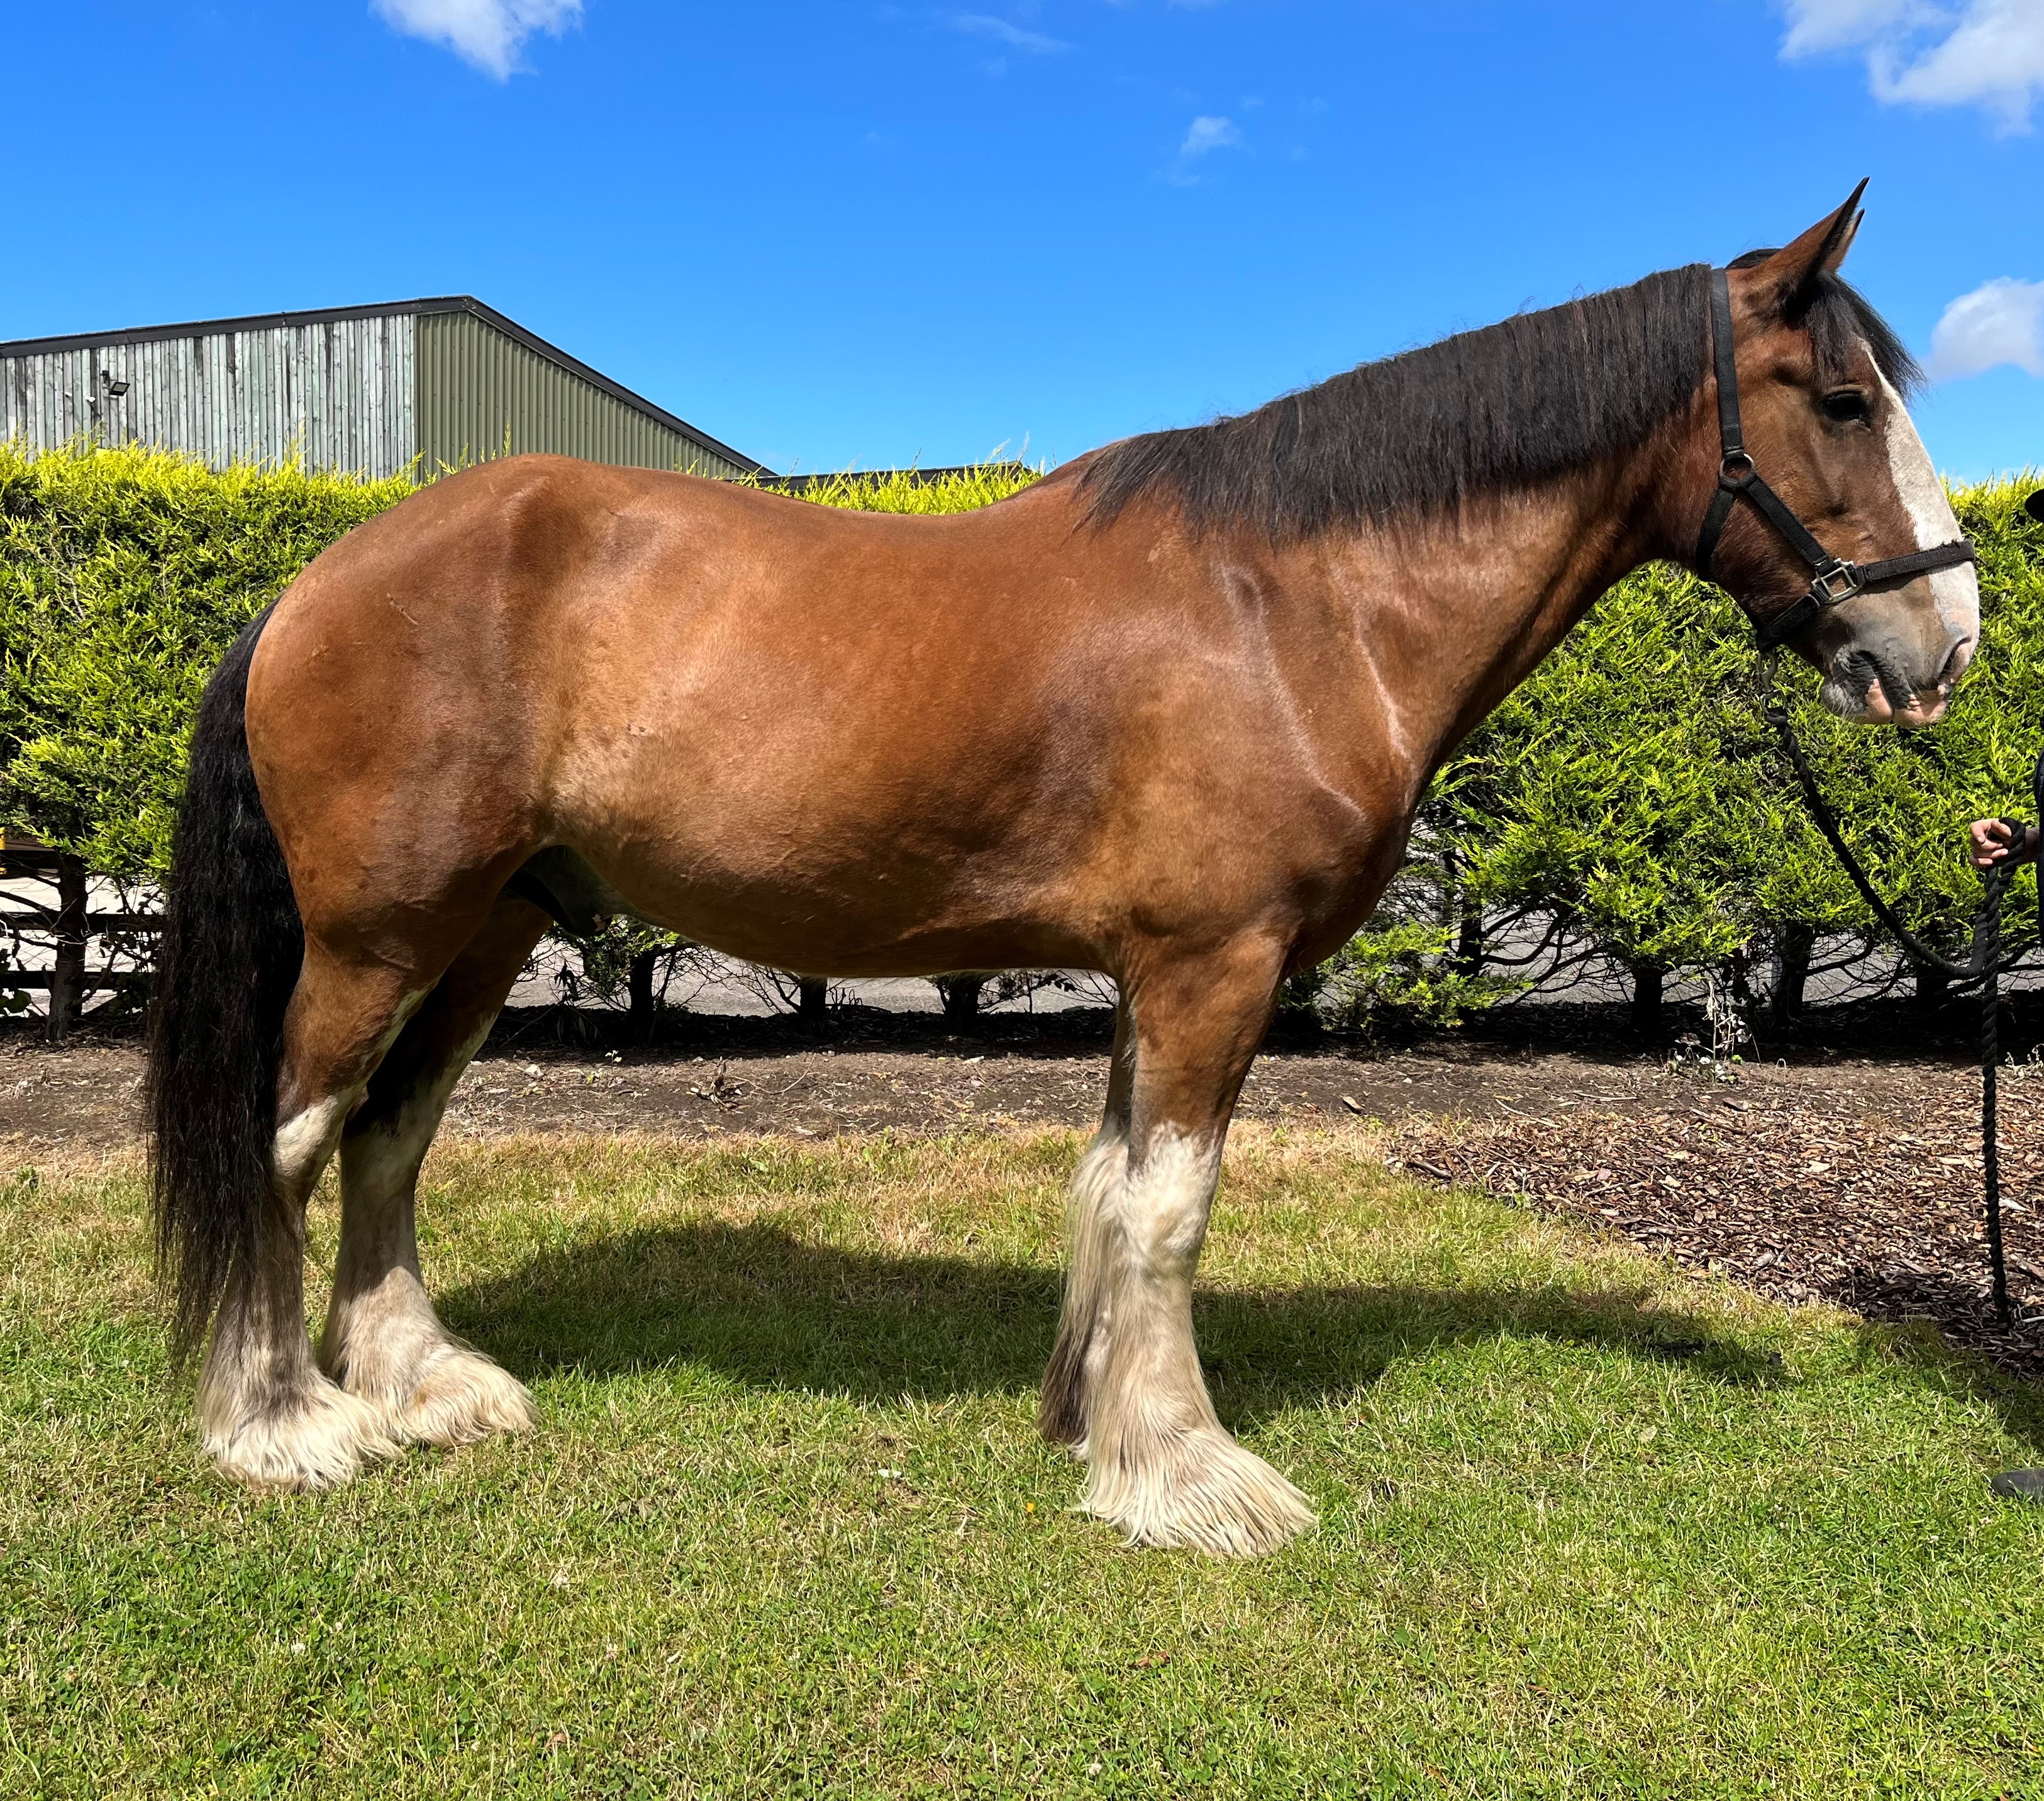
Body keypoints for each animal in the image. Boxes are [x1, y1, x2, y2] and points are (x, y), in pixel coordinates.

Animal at [148, 193, 1979, 1545]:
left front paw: (1094, 1419)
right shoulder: (1211, 962)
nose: (1949, 639)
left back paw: (417, 1387)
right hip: (379, 937)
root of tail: (322, 575)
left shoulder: (1155, 970)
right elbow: (1172, 1207)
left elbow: (1115, 1192)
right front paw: (1187, 1473)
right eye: (1839, 402)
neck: (1294, 600)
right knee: (287, 1139)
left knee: (386, 1141)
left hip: (481, 932)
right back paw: (280, 1423)